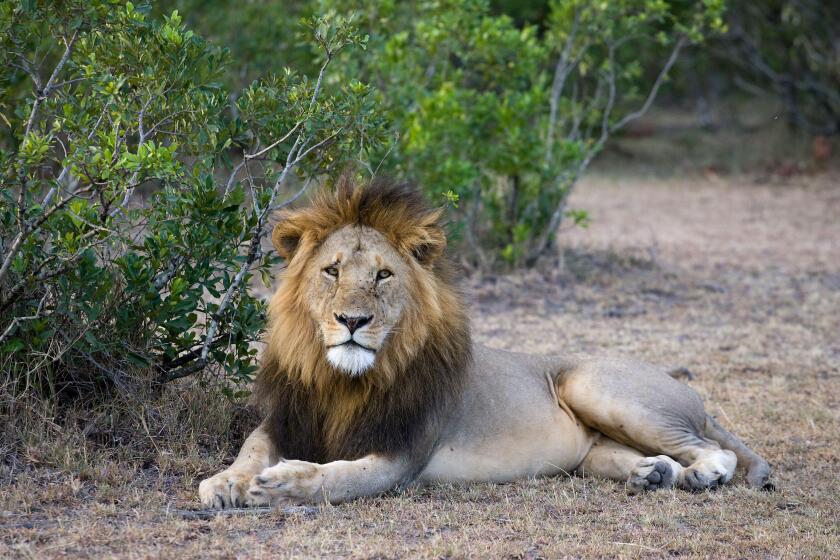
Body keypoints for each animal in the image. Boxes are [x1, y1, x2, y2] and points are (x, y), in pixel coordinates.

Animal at [199, 177, 772, 508]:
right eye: (331, 271)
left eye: (383, 275)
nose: (352, 320)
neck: (343, 379)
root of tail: (688, 392)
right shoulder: (288, 418)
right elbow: (251, 449)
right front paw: (225, 482)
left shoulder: (401, 454)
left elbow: (335, 478)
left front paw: (283, 482)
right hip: (594, 450)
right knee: (653, 456)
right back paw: (652, 474)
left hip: (597, 386)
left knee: (716, 448)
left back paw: (700, 476)